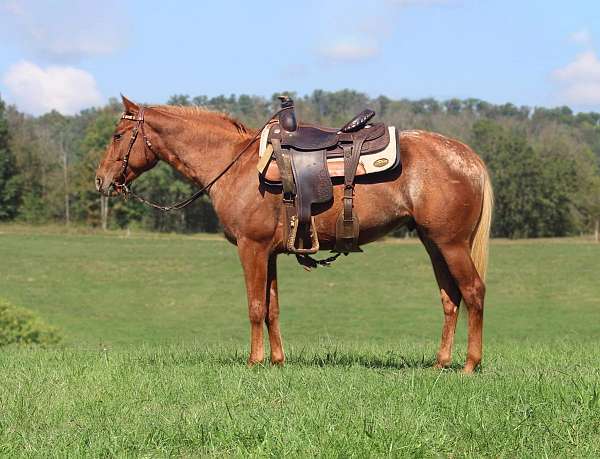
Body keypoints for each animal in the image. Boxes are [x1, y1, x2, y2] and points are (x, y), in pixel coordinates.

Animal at [95, 97, 492, 374]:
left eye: (117, 136)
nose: (100, 180)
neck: (235, 165)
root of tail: (468, 156)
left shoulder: (251, 248)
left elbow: (255, 306)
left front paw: (254, 362)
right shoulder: (269, 253)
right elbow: (272, 307)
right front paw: (277, 360)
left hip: (451, 244)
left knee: (473, 292)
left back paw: (470, 365)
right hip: (433, 244)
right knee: (450, 298)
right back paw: (440, 362)